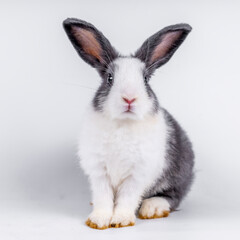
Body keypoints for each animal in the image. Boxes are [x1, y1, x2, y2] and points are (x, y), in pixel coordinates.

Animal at [62, 17, 194, 230]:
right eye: (110, 78)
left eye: (146, 79)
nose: (129, 98)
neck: (123, 124)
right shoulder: (99, 172)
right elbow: (103, 197)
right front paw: (98, 221)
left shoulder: (137, 174)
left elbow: (127, 197)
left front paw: (121, 220)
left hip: (179, 174)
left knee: (173, 196)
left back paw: (153, 207)